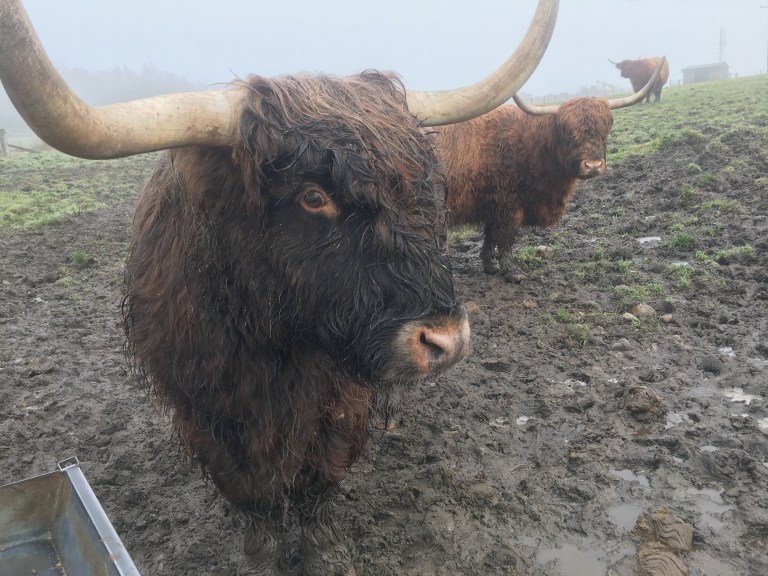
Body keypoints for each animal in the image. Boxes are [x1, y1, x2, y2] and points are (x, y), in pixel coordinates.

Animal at [0, 0, 559, 574]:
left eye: (424, 183)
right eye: (312, 196)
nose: (446, 340)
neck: (278, 345)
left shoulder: (340, 401)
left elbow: (321, 476)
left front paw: (324, 549)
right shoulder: (206, 411)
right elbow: (253, 492)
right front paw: (263, 552)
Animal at [434, 58, 665, 280]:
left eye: (604, 132)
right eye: (568, 134)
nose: (593, 166)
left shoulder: (493, 206)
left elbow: (491, 237)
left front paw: (490, 266)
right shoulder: (509, 204)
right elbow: (506, 238)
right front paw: (513, 272)